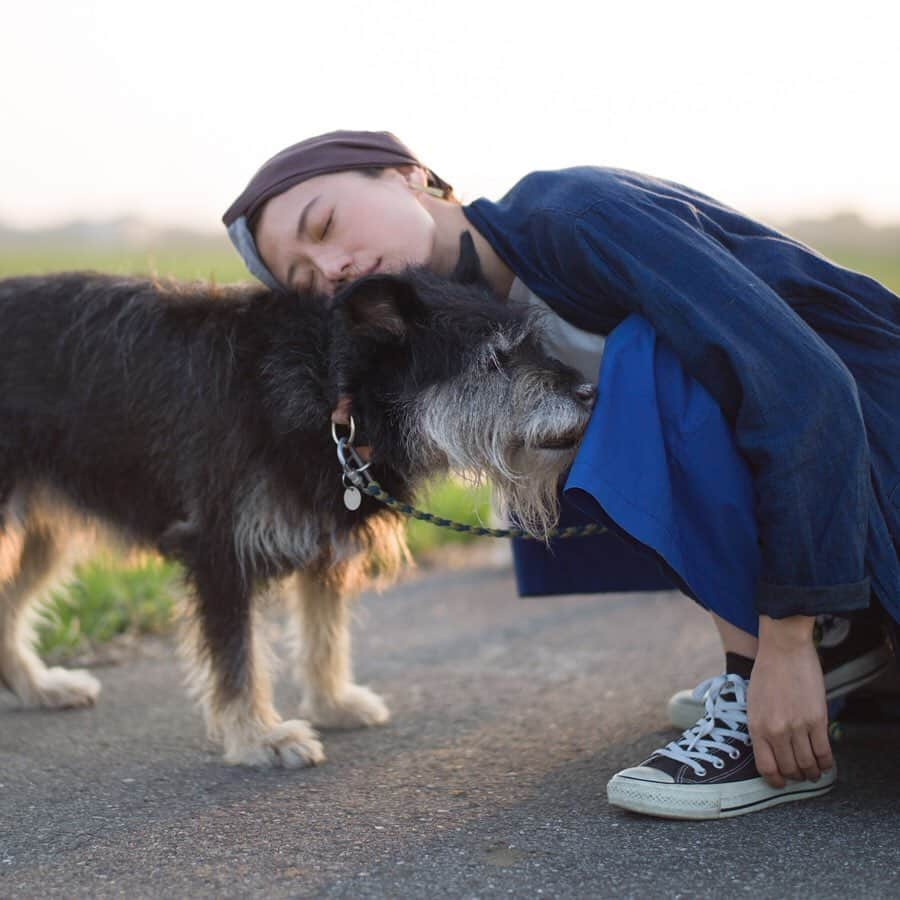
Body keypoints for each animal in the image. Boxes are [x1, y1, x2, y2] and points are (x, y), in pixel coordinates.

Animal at [1, 246, 596, 768]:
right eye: (494, 359)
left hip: (43, 535)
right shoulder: (220, 549)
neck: (333, 394)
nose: (590, 392)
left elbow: (324, 635)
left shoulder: (326, 537)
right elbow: (238, 658)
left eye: (534, 344)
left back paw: (37, 686)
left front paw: (333, 704)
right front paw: (258, 737)